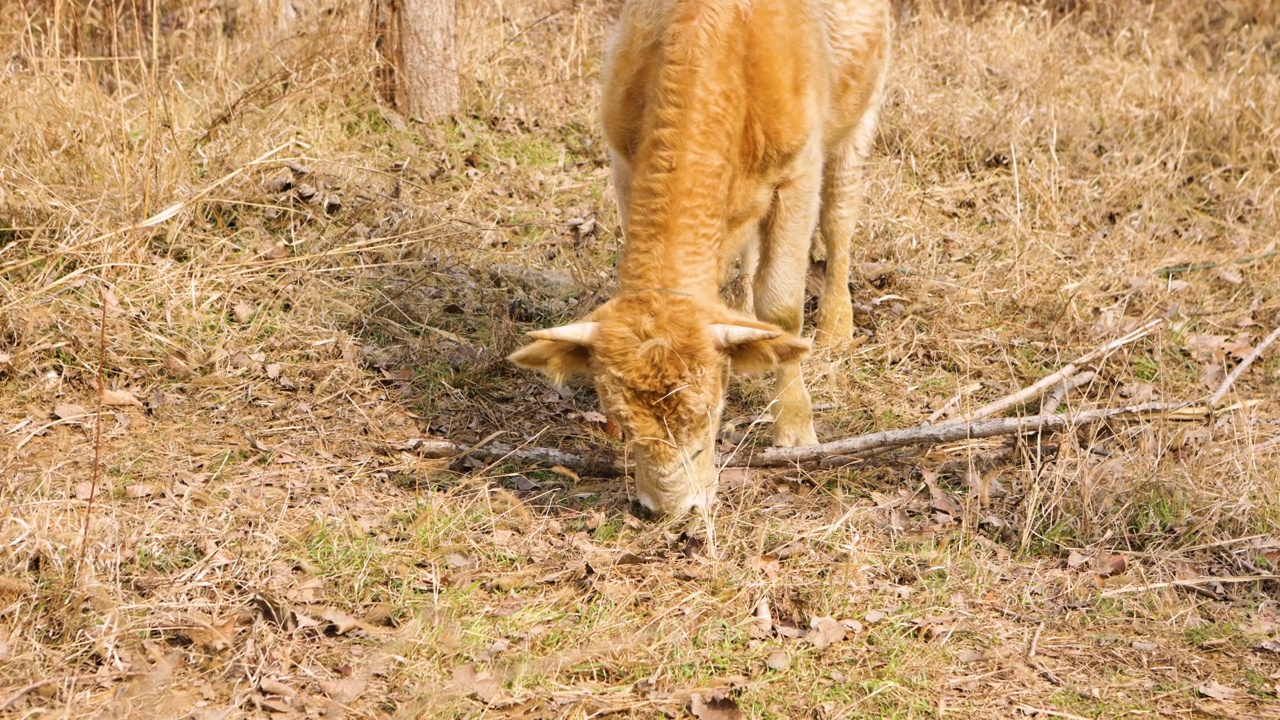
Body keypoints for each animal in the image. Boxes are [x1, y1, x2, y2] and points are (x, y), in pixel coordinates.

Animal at [509, 0, 890, 515]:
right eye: (622, 418)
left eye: (713, 411)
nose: (672, 509)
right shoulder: (626, 166)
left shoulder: (798, 174)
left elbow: (783, 307)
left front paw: (795, 427)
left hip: (859, 118)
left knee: (839, 217)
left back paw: (836, 326)